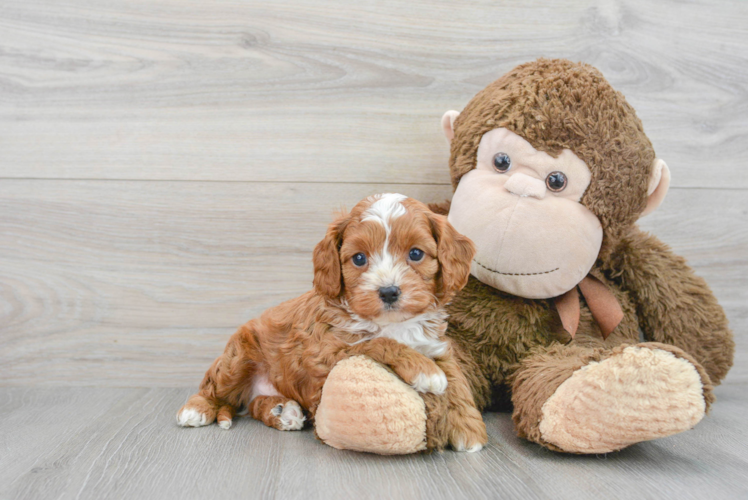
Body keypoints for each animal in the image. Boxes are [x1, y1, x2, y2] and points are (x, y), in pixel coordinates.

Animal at [178, 194, 488, 454]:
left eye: (415, 254)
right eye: (359, 258)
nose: (389, 292)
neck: (391, 323)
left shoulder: (433, 343)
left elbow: (457, 378)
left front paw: (468, 427)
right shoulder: (329, 352)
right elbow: (380, 342)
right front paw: (426, 371)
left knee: (254, 405)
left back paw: (283, 412)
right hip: (236, 358)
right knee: (214, 388)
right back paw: (196, 410)